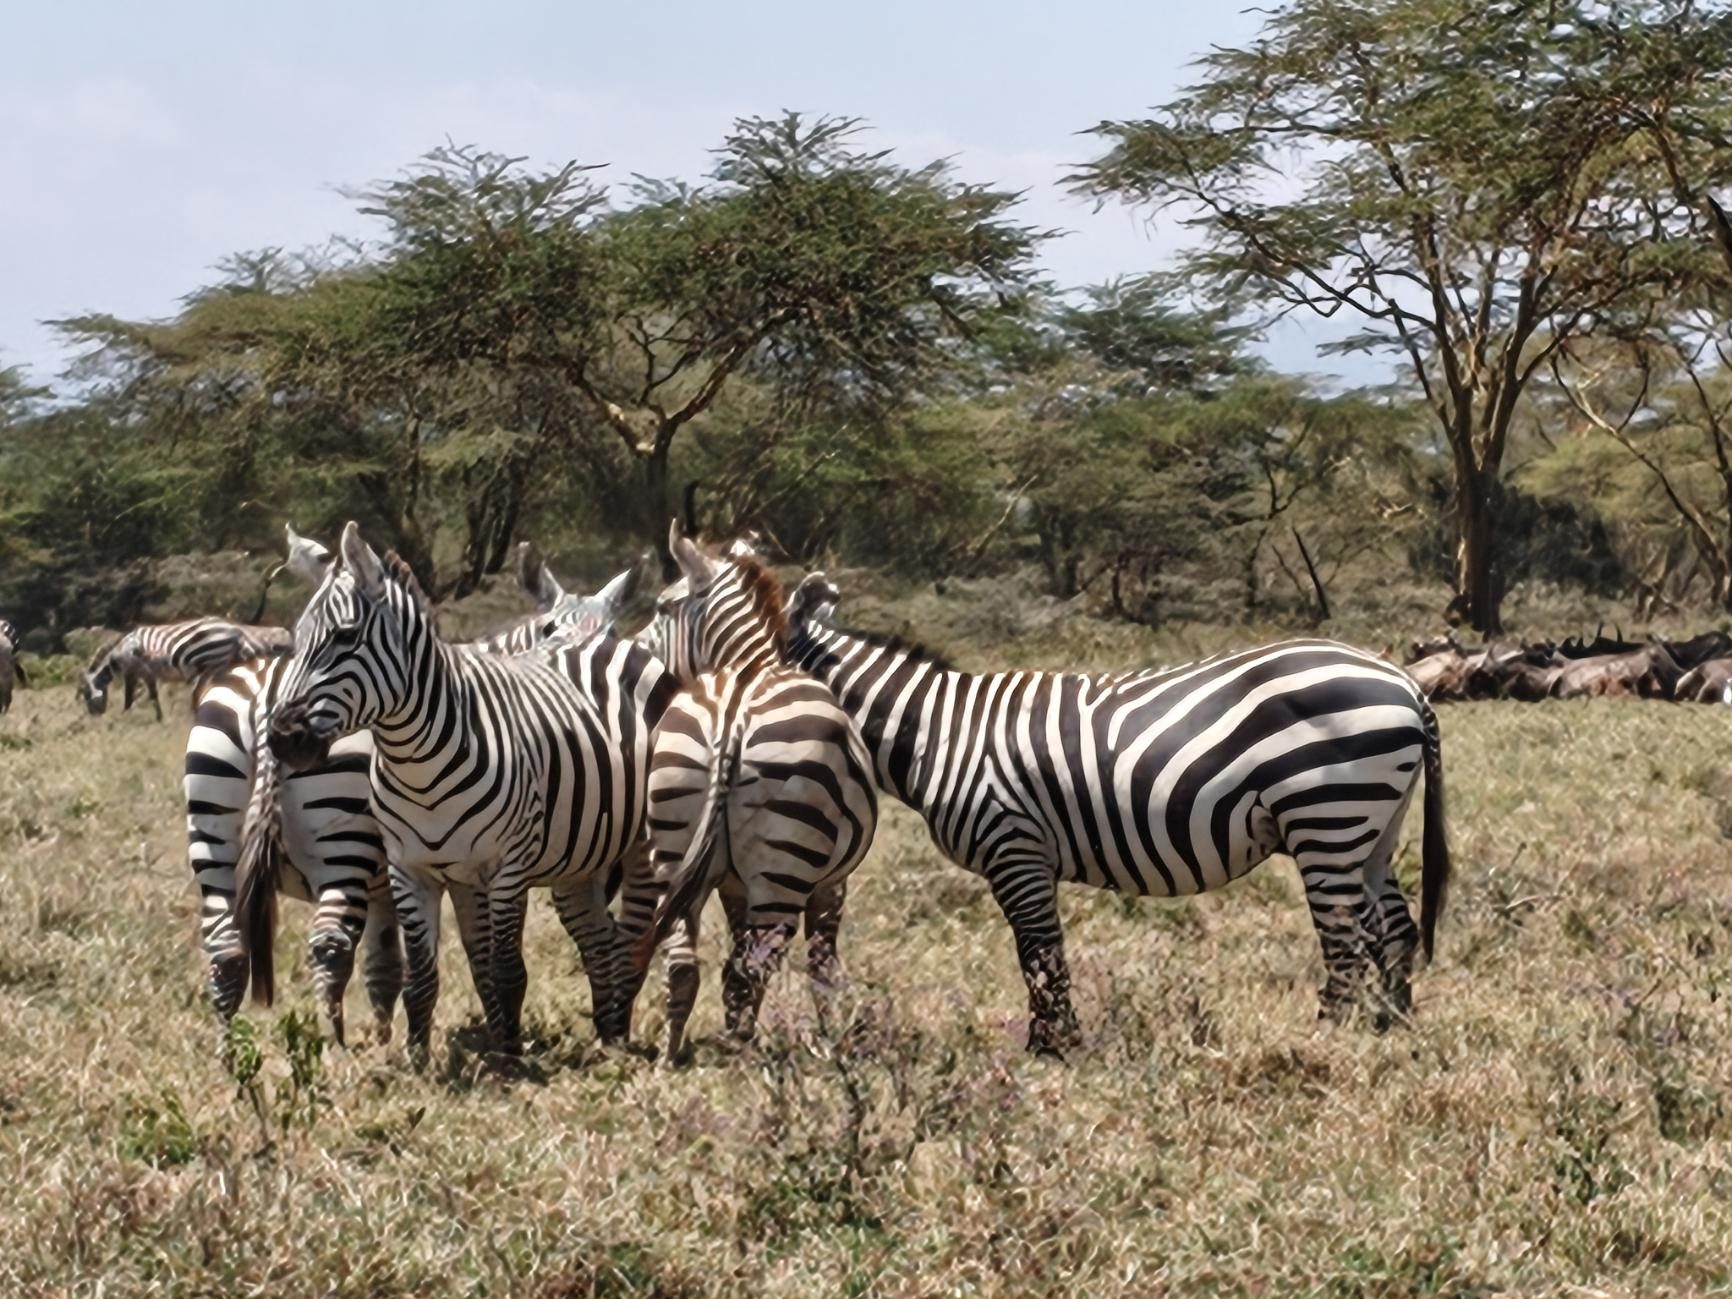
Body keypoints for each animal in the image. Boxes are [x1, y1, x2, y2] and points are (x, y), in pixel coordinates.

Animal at [81, 619, 295, 721]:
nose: (94, 717)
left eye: (86, 695)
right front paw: (159, 719)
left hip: (207, 662)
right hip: (216, 665)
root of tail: (235, 632)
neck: (119, 655)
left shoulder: (134, 671)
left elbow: (130, 697)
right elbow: (153, 696)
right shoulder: (148, 673)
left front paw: (123, 717)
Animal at [247, 522, 676, 1062]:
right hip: (581, 856)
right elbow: (422, 976)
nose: (284, 738)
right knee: (599, 939)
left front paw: (507, 1057)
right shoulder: (410, 870)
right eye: (297, 638)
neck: (418, 764)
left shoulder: (506, 867)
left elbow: (505, 968)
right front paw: (418, 1058)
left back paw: (616, 1034)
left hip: (639, 844)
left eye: (345, 636)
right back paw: (606, 1034)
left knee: (632, 936)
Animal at [635, 525, 877, 1063]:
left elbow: (734, 956)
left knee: (685, 962)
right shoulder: (832, 882)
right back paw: (744, 1051)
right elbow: (822, 963)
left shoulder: (733, 882)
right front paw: (831, 1036)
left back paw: (676, 1051)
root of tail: (733, 711)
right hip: (786, 864)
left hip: (674, 841)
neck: (751, 662)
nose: (635, 651)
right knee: (758, 963)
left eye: (660, 606)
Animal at [784, 571, 1450, 1051]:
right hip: (1372, 826)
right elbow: (1043, 952)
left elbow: (1039, 952)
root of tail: (1403, 681)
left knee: (1345, 939)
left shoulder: (1014, 843)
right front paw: (1057, 1041)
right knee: (1393, 929)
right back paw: (1390, 1027)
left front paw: (1053, 1047)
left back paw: (1327, 1038)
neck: (940, 733)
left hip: (1326, 814)